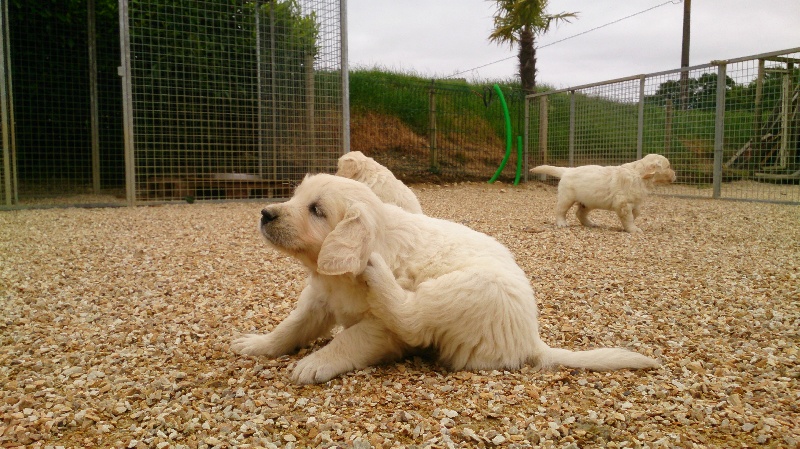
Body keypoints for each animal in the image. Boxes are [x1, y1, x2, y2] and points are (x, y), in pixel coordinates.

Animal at [231, 174, 659, 384]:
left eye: (316, 210)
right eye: (295, 197)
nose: (266, 213)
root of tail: (530, 341)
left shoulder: (380, 330)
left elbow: (349, 339)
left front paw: (316, 363)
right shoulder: (318, 300)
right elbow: (291, 326)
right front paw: (258, 344)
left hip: (467, 288)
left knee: (415, 319)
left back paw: (379, 274)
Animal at [530, 154, 676, 233]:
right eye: (668, 166)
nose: (675, 175)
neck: (639, 175)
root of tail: (567, 170)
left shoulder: (634, 201)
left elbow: (636, 213)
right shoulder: (622, 203)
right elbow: (628, 217)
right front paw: (633, 229)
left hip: (588, 202)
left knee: (580, 213)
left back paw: (590, 223)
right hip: (567, 197)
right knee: (560, 210)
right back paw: (561, 223)